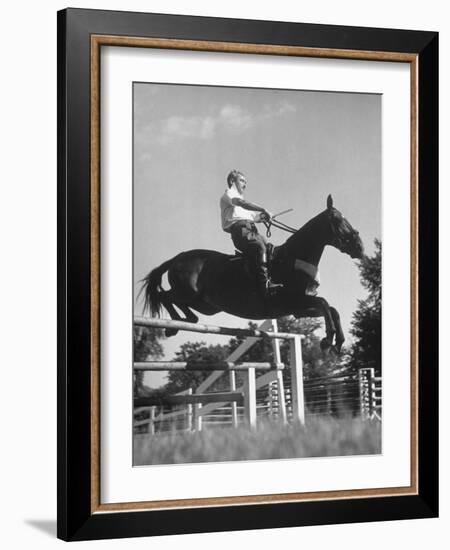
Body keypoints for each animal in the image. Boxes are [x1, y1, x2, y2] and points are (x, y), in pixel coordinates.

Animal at [142, 196, 366, 356]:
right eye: (337, 219)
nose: (360, 247)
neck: (293, 257)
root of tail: (176, 258)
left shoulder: (298, 308)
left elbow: (332, 309)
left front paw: (338, 342)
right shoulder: (294, 300)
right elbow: (325, 303)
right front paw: (328, 339)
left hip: (206, 305)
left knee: (185, 308)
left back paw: (185, 320)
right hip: (189, 293)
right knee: (164, 296)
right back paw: (173, 326)